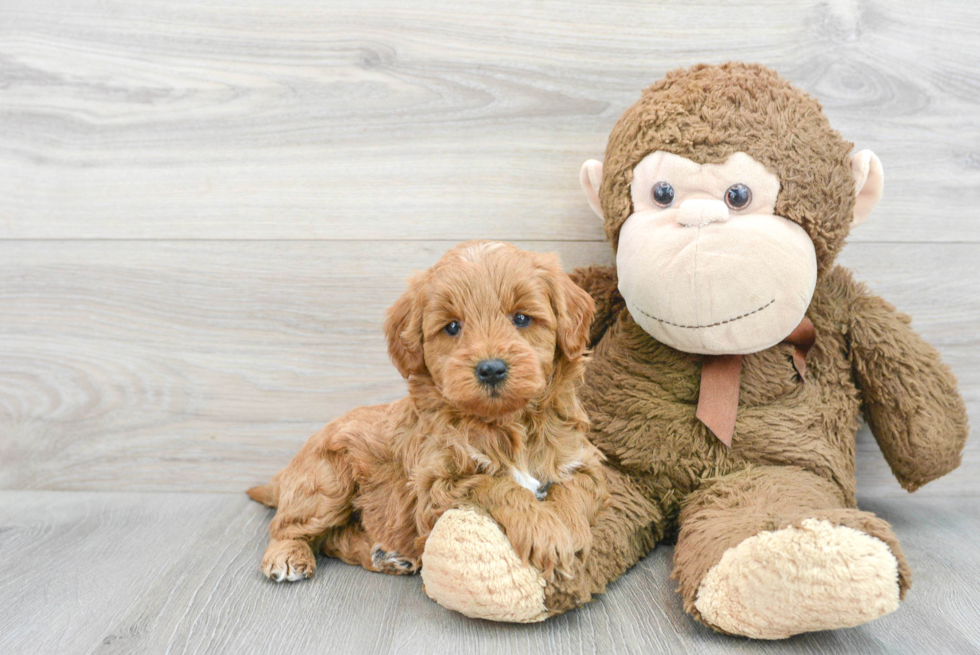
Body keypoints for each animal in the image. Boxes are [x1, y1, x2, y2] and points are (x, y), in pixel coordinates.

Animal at [247, 243, 604, 580]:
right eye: (452, 327)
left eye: (521, 318)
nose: (491, 369)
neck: (504, 423)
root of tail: (286, 475)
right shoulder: (436, 488)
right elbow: (496, 485)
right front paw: (545, 533)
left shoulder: (581, 461)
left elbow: (575, 490)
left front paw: (570, 533)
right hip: (326, 482)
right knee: (288, 527)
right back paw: (287, 555)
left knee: (333, 540)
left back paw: (387, 556)